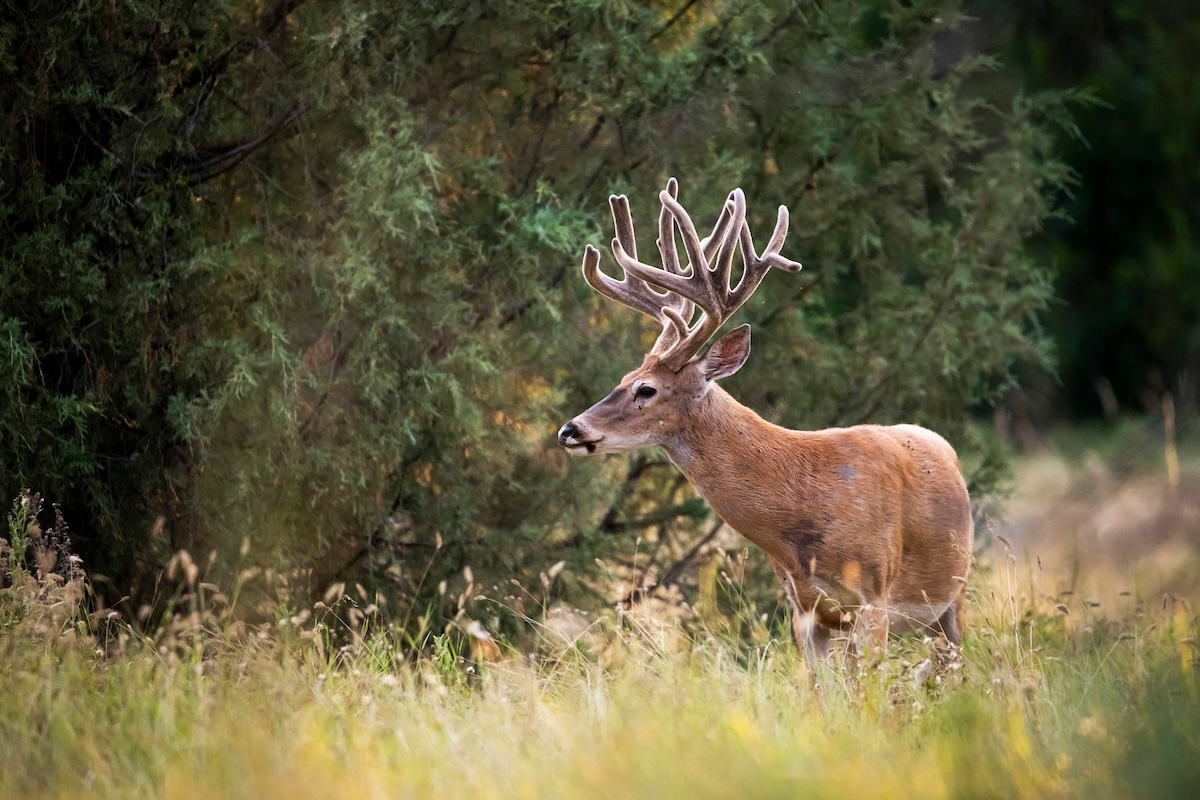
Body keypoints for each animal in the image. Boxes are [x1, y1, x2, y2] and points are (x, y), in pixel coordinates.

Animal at [557, 178, 974, 668]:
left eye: (646, 389)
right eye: (623, 378)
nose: (570, 430)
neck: (804, 509)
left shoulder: (875, 594)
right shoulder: (802, 607)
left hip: (954, 595)